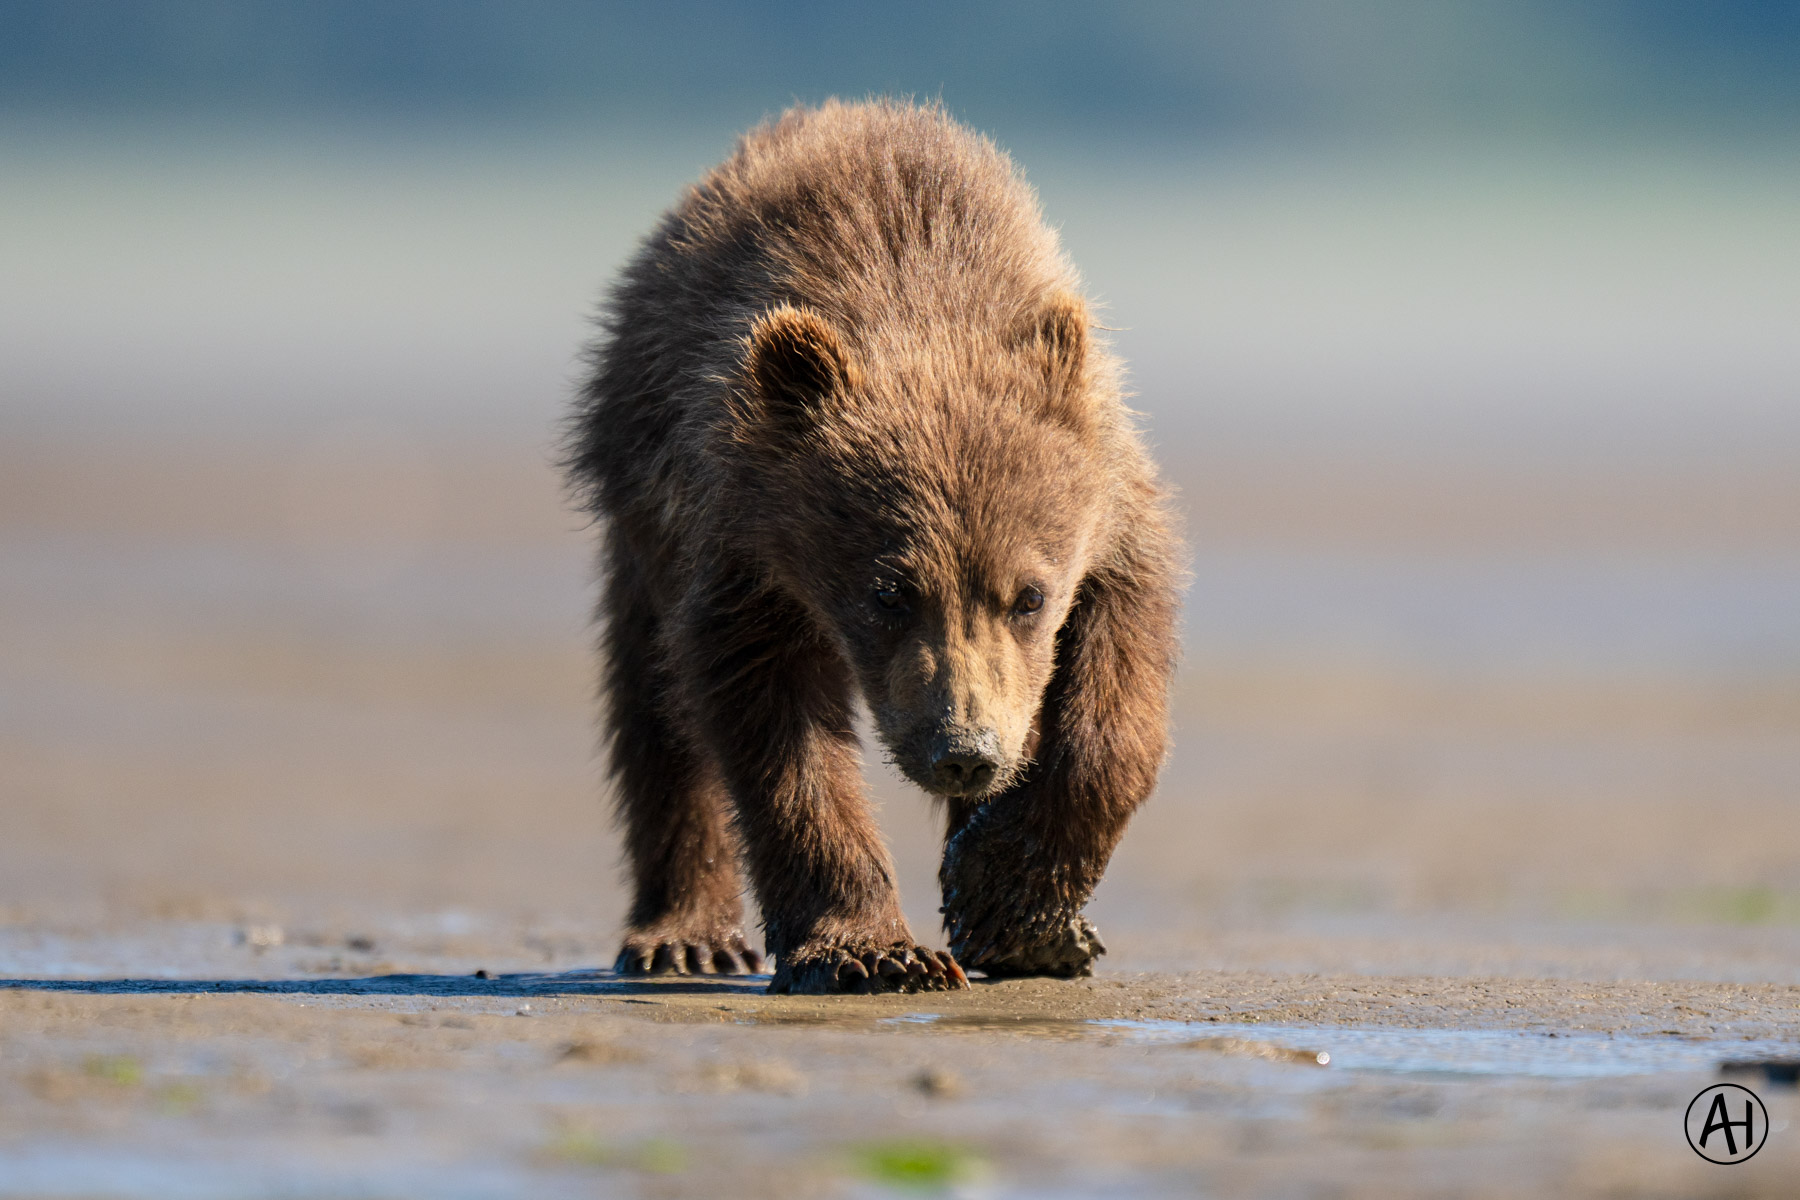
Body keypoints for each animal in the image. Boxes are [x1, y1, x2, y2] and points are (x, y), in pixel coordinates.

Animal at [565, 98, 1180, 995]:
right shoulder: (747, 549)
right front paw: (872, 951)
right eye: (889, 591)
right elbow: (774, 731)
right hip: (645, 504)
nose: (964, 752)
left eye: (1029, 596)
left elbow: (1119, 697)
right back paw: (684, 935)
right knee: (655, 703)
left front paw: (1018, 907)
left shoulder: (1112, 511)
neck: (918, 298)